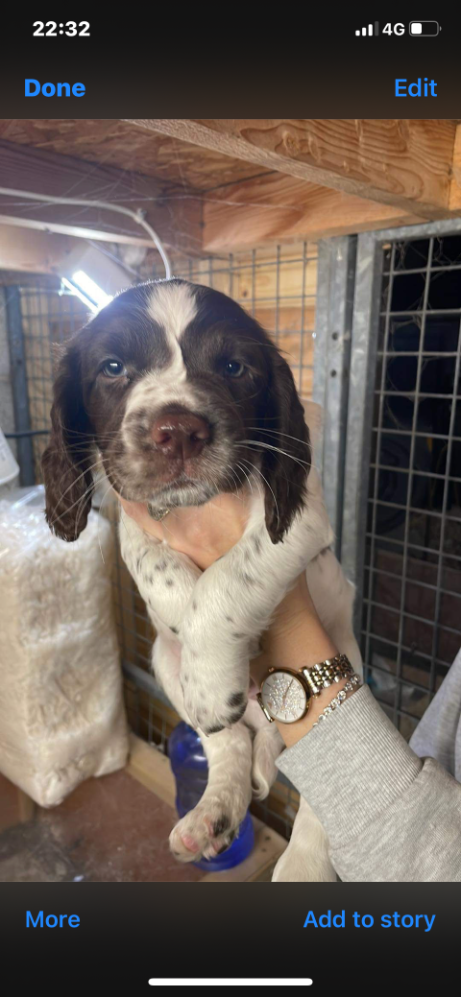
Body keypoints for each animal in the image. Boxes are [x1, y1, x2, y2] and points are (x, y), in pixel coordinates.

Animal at [41, 276, 362, 876]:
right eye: (113, 367)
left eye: (234, 368)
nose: (179, 431)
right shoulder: (134, 517)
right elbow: (157, 567)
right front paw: (179, 613)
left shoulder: (299, 521)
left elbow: (228, 581)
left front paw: (212, 675)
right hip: (162, 664)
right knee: (228, 743)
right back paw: (211, 815)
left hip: (343, 661)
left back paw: (302, 865)